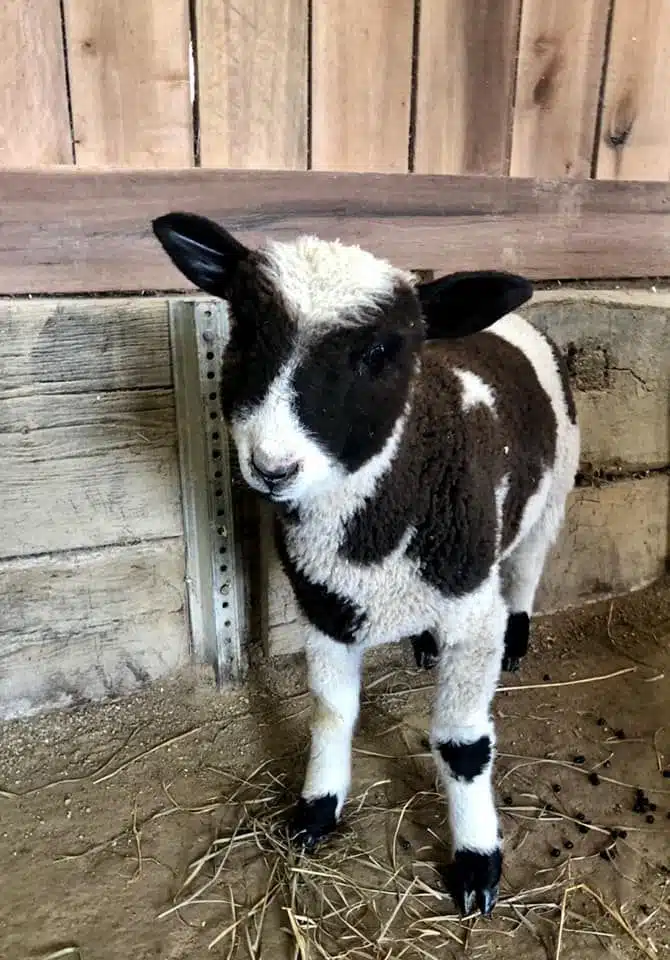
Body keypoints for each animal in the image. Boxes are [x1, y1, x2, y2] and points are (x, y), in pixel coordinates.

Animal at [152, 212, 580, 918]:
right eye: (244, 330)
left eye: (381, 352)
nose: (273, 468)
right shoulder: (327, 606)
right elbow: (332, 713)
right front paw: (317, 809)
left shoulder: (471, 612)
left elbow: (462, 743)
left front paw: (477, 863)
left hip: (551, 495)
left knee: (525, 570)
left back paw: (518, 639)